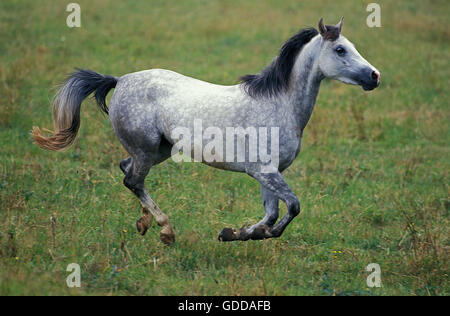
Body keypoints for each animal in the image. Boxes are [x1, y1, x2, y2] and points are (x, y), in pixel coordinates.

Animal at [33, 19, 382, 244]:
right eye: (340, 50)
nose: (375, 76)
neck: (279, 104)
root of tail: (119, 80)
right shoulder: (265, 171)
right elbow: (292, 207)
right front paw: (243, 233)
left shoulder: (271, 173)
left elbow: (271, 213)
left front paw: (236, 233)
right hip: (147, 149)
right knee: (132, 179)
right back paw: (166, 231)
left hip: (159, 150)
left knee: (126, 170)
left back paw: (144, 223)